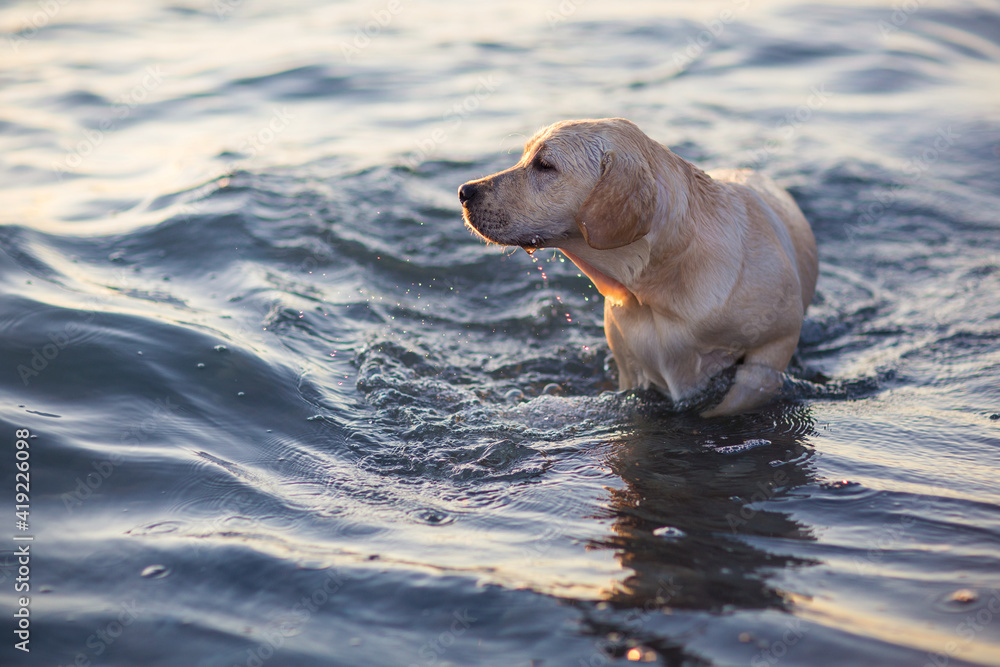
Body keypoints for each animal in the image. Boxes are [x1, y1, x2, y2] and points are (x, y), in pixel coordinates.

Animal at [458, 117, 816, 414]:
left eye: (544, 165)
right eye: (524, 157)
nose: (464, 191)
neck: (658, 286)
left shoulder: (774, 345)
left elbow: (739, 397)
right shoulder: (630, 369)